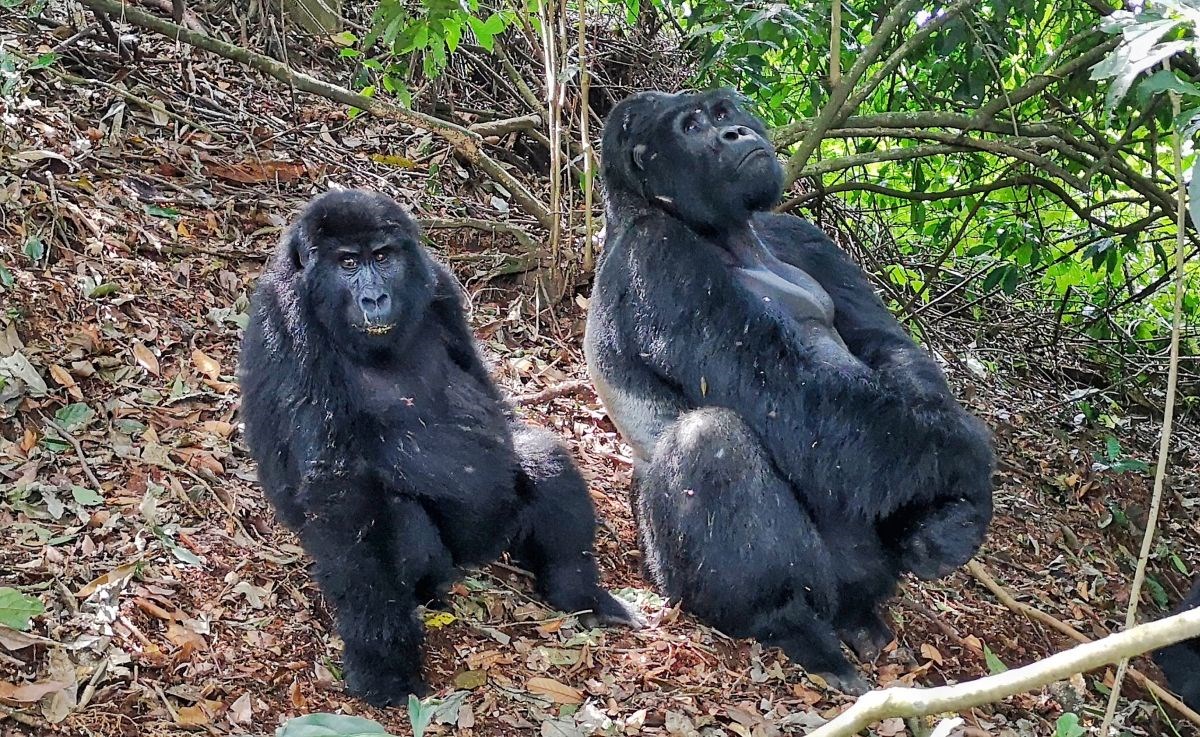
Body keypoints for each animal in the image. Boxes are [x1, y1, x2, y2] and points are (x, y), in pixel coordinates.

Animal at [237, 187, 643, 705]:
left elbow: (495, 408)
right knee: (398, 519)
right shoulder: (289, 321)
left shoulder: (440, 287)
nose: (375, 297)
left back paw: (579, 592)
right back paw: (433, 591)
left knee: (537, 461)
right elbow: (342, 494)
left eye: (382, 257)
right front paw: (381, 655)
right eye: (347, 263)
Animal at [585, 91, 998, 691]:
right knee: (713, 438)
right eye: (691, 127)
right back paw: (788, 625)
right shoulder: (659, 257)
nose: (734, 133)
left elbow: (887, 347)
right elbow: (790, 395)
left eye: (722, 111)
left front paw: (955, 518)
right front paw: (970, 462)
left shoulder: (800, 235)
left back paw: (865, 616)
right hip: (679, 579)